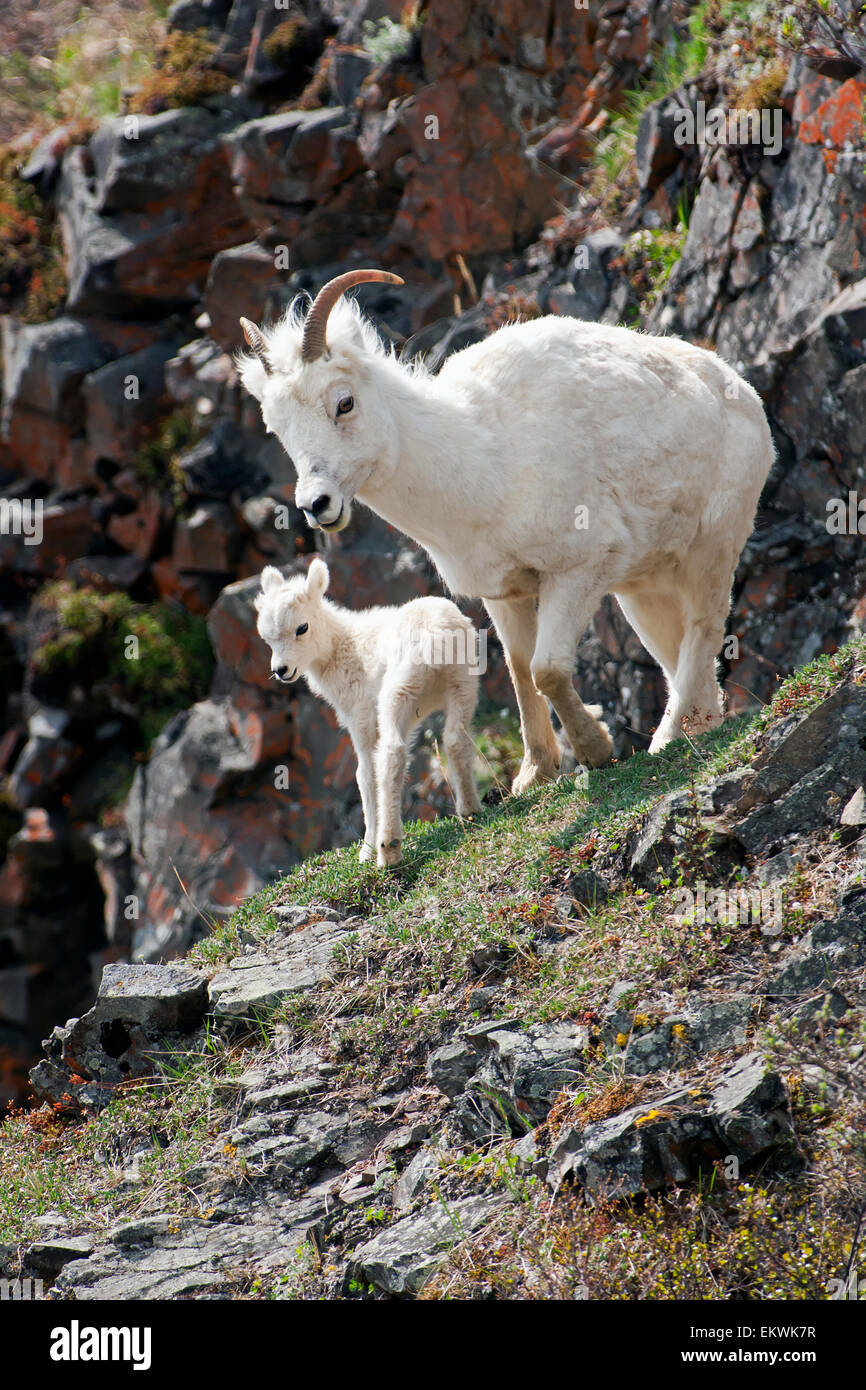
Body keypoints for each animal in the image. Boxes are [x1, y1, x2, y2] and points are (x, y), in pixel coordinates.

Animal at [238, 269, 775, 792]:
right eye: (277, 429)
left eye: (344, 403)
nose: (316, 505)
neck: (483, 459)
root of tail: (742, 393)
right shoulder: (504, 593)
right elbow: (520, 671)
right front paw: (535, 773)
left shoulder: (579, 570)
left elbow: (547, 670)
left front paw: (595, 751)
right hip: (643, 588)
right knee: (674, 650)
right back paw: (700, 725)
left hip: (709, 552)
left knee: (703, 630)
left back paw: (668, 737)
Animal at [255, 557, 482, 866]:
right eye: (267, 637)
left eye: (302, 628)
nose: (281, 670)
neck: (342, 648)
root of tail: (436, 638)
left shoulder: (360, 718)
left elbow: (364, 775)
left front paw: (366, 851)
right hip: (463, 684)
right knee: (456, 739)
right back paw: (470, 809)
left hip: (397, 693)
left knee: (391, 755)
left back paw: (388, 849)